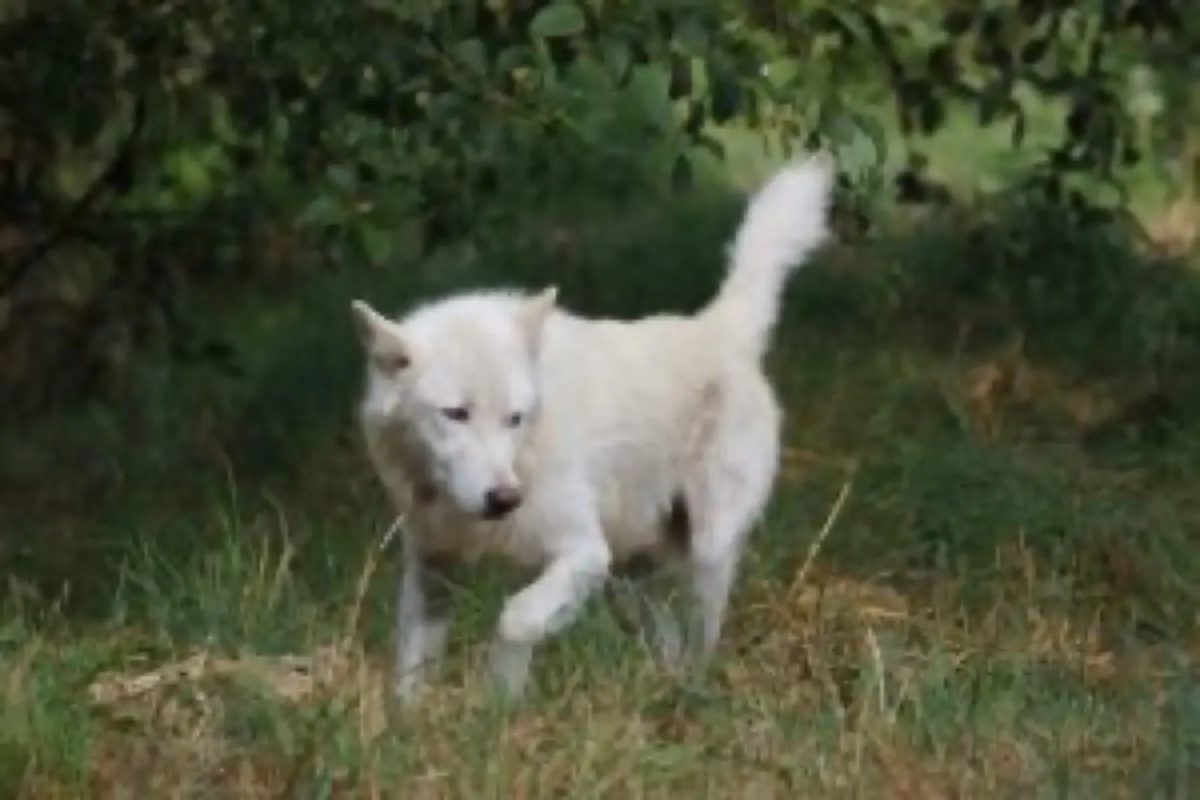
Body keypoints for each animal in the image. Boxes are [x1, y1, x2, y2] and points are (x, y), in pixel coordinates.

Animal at [350, 154, 836, 701]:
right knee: (667, 638)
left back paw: (694, 693)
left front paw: (499, 700)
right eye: (455, 413)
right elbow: (409, 671)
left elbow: (515, 618)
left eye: (514, 418)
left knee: (700, 639)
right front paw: (413, 719)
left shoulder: (583, 553)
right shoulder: (431, 569)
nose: (505, 499)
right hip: (629, 576)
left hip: (702, 554)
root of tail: (717, 327)